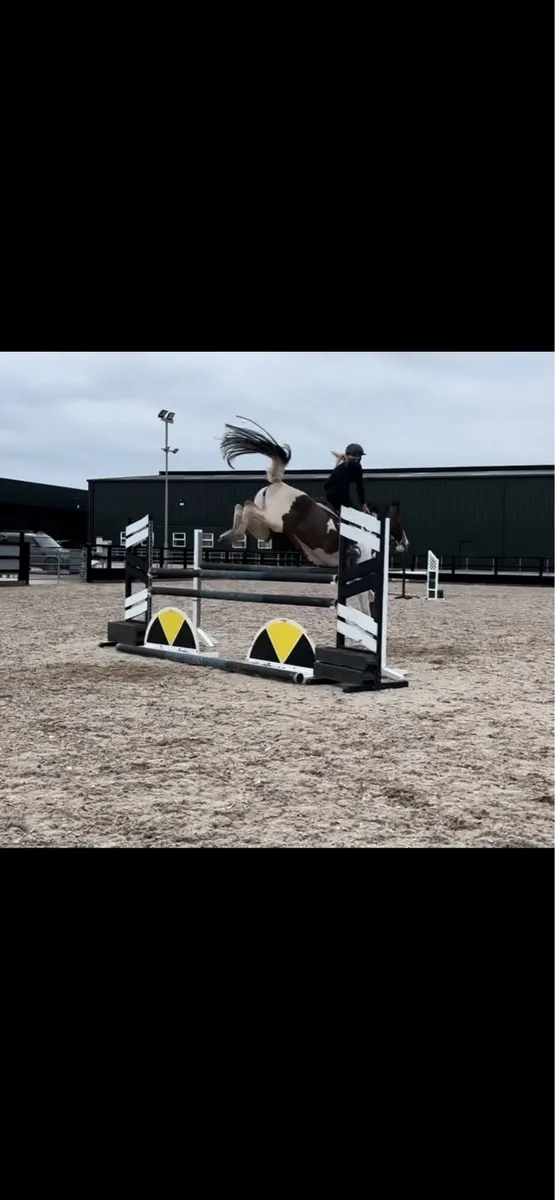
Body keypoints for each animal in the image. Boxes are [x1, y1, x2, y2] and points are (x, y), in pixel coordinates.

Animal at [218, 419, 409, 617]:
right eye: (399, 521)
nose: (406, 543)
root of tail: (277, 483)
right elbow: (364, 607)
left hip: (265, 529)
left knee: (242, 507)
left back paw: (229, 534)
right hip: (277, 521)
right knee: (247, 506)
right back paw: (234, 533)